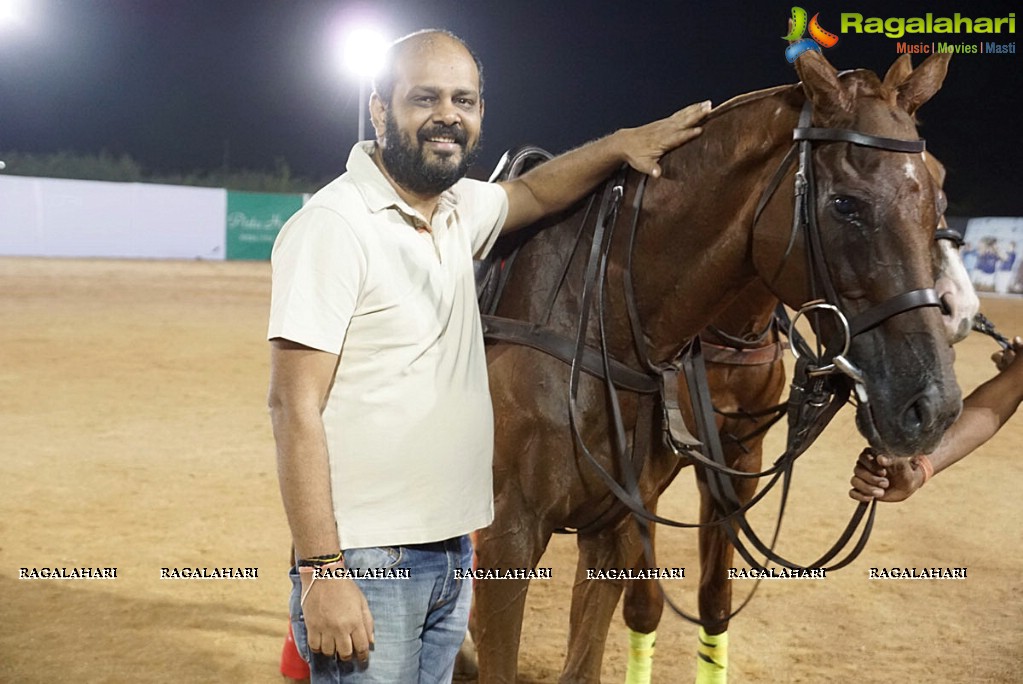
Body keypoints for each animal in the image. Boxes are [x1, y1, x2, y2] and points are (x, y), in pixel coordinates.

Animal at [474, 50, 961, 678]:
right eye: (845, 204)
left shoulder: (638, 512)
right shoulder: (508, 534)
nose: (935, 405)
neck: (585, 312)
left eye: (937, 200)